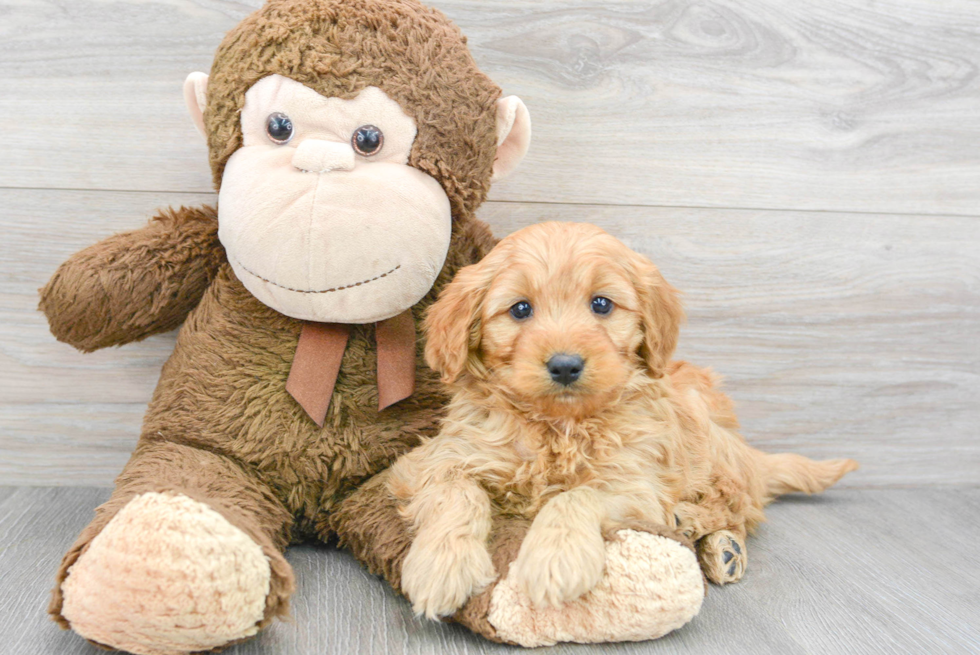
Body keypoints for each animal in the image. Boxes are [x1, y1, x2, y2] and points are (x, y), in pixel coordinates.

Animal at [390, 222, 856, 620]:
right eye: (520, 309)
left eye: (601, 304)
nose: (565, 365)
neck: (559, 425)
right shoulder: (433, 459)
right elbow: (457, 493)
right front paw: (442, 564)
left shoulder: (635, 481)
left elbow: (573, 497)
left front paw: (555, 558)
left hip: (709, 435)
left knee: (737, 505)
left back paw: (707, 534)